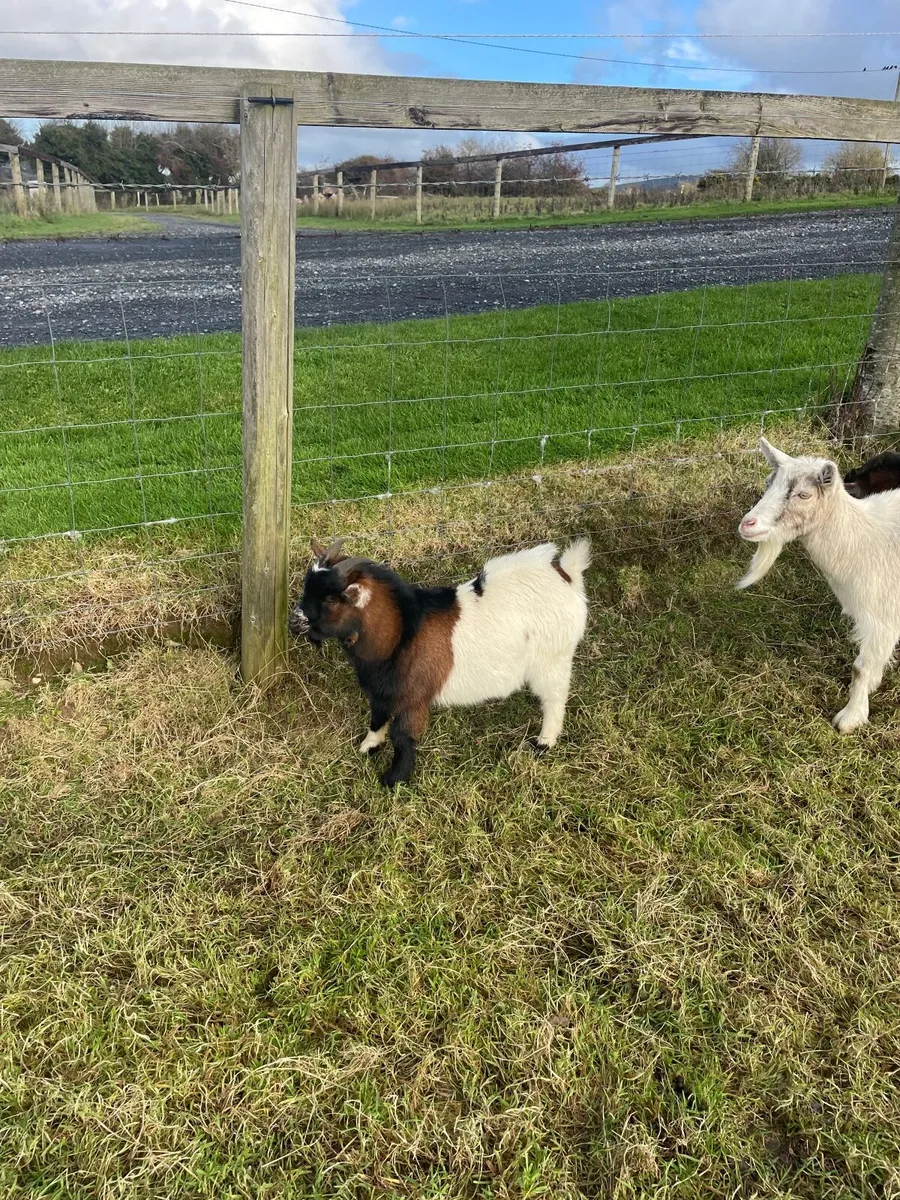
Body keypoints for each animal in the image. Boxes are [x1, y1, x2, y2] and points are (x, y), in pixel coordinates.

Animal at [289, 536, 590, 787]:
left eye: (331, 598)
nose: (294, 621)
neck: (402, 633)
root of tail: (567, 573)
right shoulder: (382, 690)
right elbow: (378, 717)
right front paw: (369, 746)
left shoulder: (414, 697)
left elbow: (402, 736)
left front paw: (394, 779)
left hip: (553, 659)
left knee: (554, 699)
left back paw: (543, 743)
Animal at [737, 437, 900, 732]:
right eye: (768, 483)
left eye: (804, 495)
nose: (748, 524)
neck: (865, 537)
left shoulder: (883, 616)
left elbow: (860, 668)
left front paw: (850, 718)